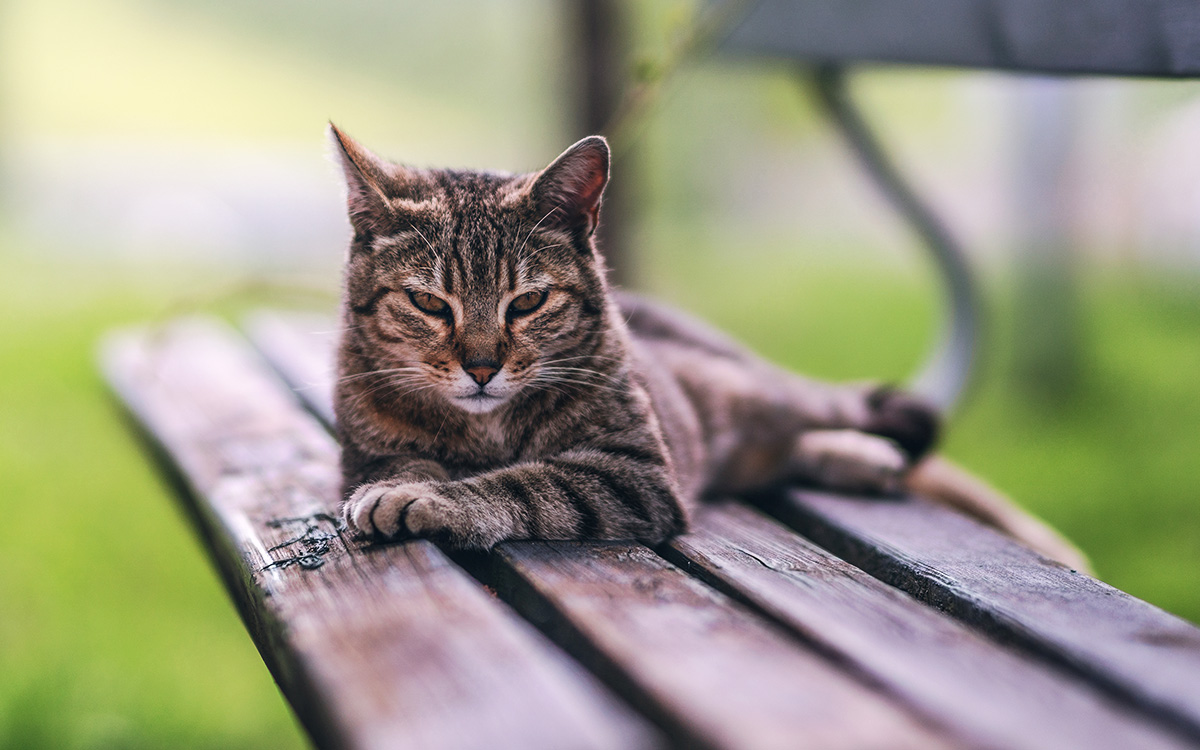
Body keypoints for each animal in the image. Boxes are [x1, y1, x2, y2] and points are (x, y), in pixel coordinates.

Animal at [326, 124, 1089, 566]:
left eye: (529, 302)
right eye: (430, 303)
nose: (482, 367)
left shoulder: (633, 473)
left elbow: (526, 481)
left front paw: (433, 500)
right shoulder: (367, 450)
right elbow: (401, 463)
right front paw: (406, 485)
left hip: (762, 392)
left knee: (851, 418)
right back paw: (857, 459)